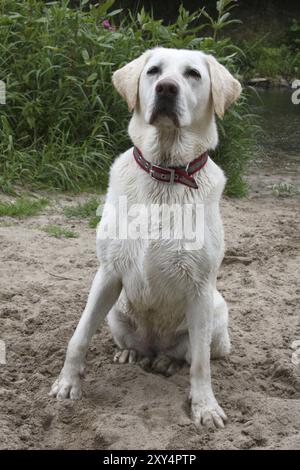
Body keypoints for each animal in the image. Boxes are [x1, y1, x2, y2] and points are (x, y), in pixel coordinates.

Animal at [49, 47, 241, 430]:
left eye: (193, 74)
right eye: (154, 71)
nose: (167, 88)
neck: (166, 173)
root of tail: (155, 348)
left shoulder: (200, 287)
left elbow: (201, 365)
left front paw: (205, 407)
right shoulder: (108, 273)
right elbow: (79, 337)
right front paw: (67, 384)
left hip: (215, 313)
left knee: (188, 354)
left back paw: (167, 362)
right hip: (116, 314)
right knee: (138, 346)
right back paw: (131, 354)